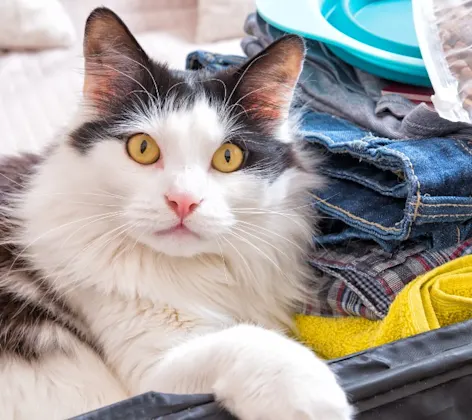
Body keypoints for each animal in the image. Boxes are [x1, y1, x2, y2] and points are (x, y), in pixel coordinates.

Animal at [0, 6, 352, 420]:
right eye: (142, 148)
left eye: (228, 157)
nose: (183, 201)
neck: (188, 273)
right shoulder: (151, 374)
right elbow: (250, 341)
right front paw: (315, 396)